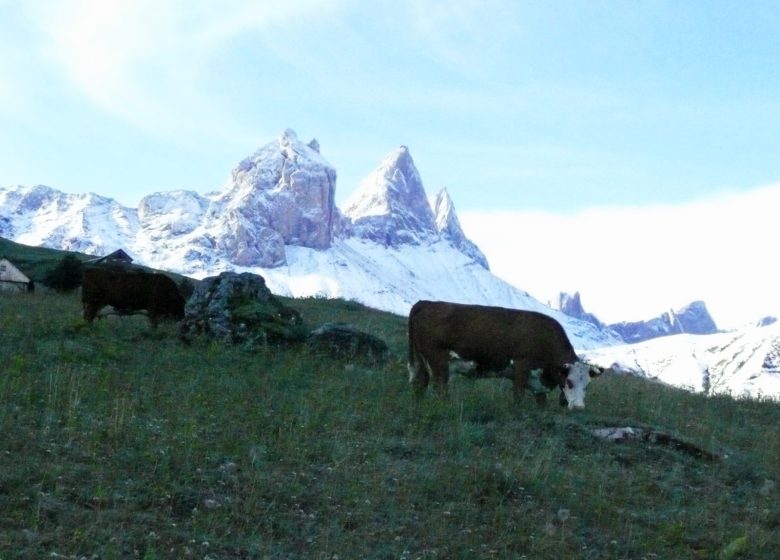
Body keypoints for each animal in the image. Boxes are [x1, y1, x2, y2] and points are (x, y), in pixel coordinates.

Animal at [408, 300, 604, 410]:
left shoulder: (538, 381)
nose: (578, 407)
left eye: (587, 385)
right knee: (439, 386)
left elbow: (541, 401)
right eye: (569, 382)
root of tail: (426, 303)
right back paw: (444, 406)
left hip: (422, 360)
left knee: (420, 382)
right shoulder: (522, 366)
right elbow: (518, 395)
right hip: (438, 359)